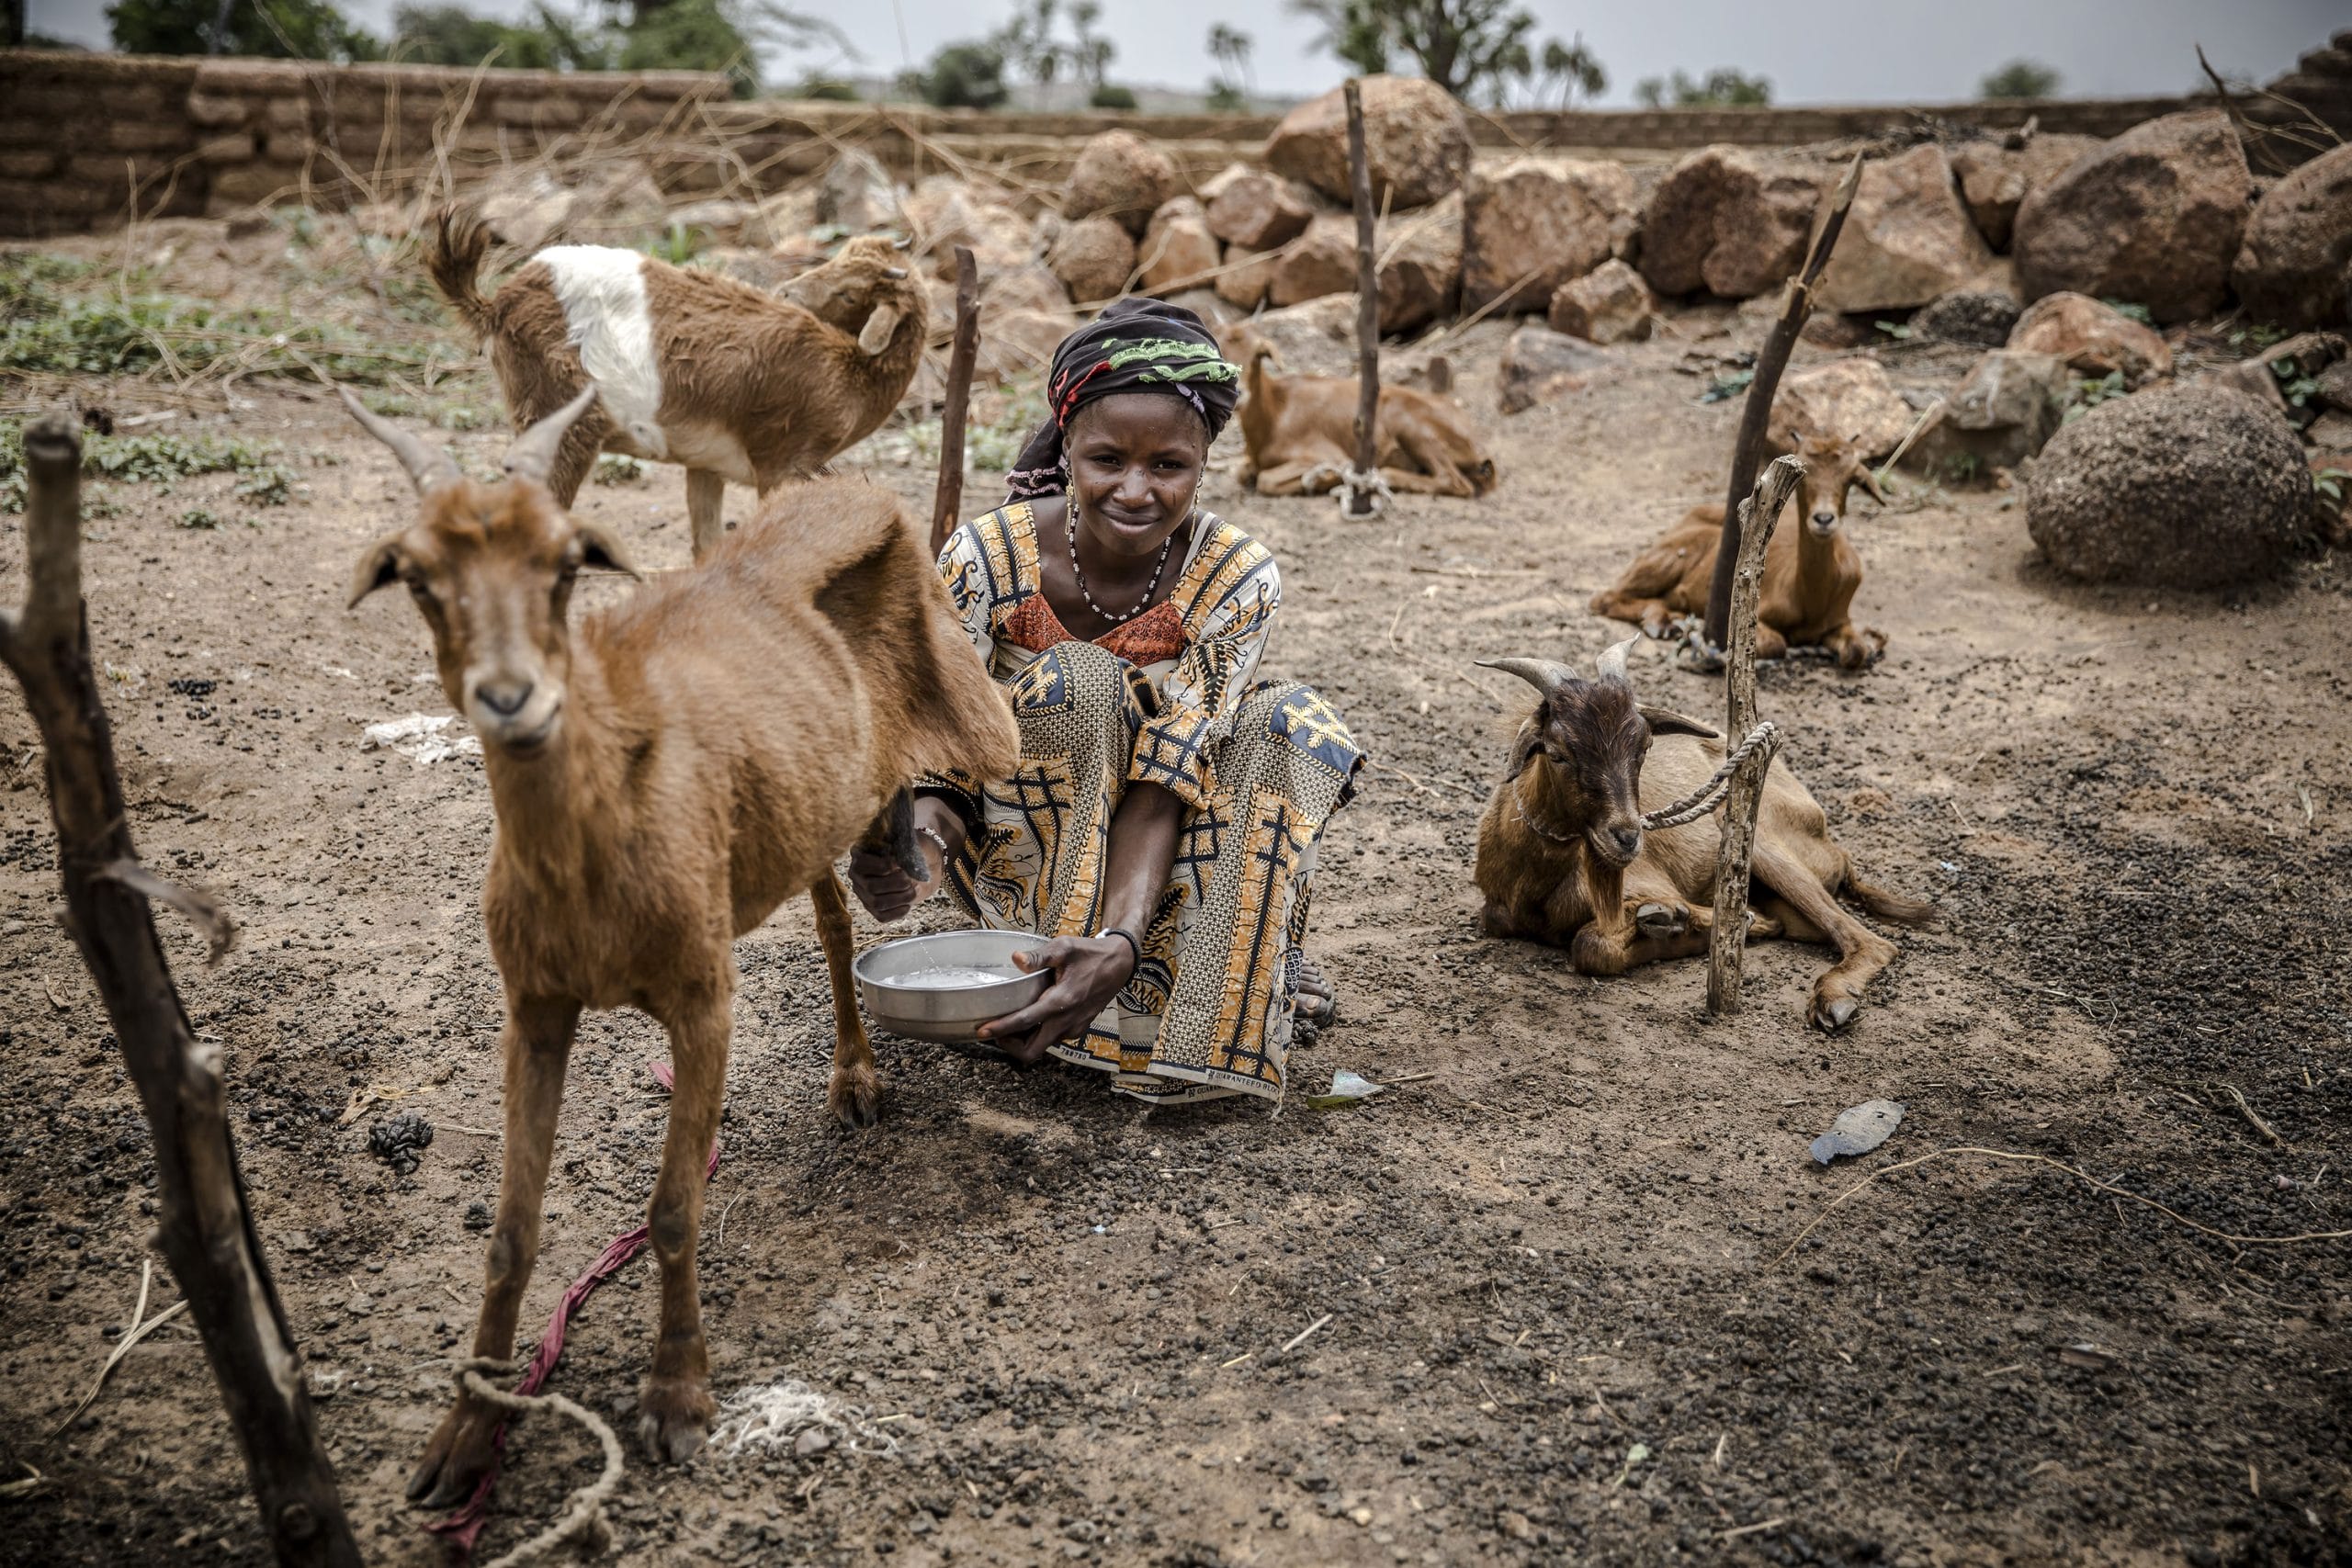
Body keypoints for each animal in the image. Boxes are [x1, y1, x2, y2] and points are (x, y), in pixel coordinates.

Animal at [343, 385, 1021, 1495]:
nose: (510, 699)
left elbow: (670, 1210)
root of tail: (854, 489)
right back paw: (859, 1032)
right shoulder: (534, 1006)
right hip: (796, 801)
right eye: (418, 578)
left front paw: (676, 1398)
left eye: (565, 565)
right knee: (833, 913)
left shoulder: (704, 999)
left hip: (970, 698)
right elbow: (512, 1231)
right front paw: (467, 1431)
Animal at [433, 208, 926, 564]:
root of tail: (496, 304)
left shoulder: (706, 465)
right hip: (565, 424)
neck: (847, 370)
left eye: (849, 291)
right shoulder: (782, 464)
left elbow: (707, 545)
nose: (786, 294)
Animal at [1223, 314, 1496, 493]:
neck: (1275, 413)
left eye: (1257, 355)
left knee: (1455, 481)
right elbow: (1240, 473)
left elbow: (1266, 480)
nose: (1239, 394)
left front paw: (1325, 479)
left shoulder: (1325, 454)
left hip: (1411, 426)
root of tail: (1477, 443)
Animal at [1467, 639, 1928, 1029]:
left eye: (1644, 748)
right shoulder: (1498, 911)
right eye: (1559, 752)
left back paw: (1833, 1000)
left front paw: (1688, 921)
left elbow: (1592, 946)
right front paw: (1678, 923)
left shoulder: (1647, 887)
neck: (1536, 878)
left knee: (1869, 940)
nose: (1626, 838)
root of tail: (1831, 843)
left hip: (1758, 842)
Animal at [1580, 432, 1891, 671]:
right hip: (1666, 558)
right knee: (1604, 598)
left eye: (1850, 478)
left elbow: (1856, 651)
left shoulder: (1841, 619)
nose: (1824, 519)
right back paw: (1664, 622)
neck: (1810, 597)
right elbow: (1777, 645)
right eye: (1805, 478)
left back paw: (1670, 621)